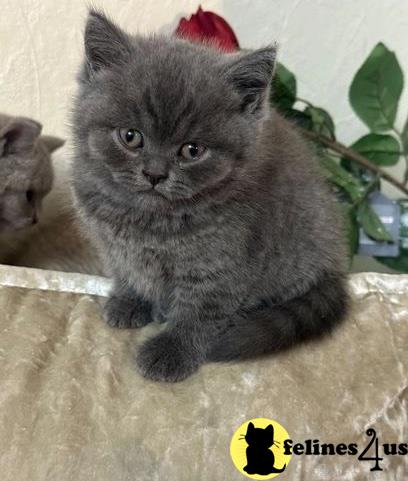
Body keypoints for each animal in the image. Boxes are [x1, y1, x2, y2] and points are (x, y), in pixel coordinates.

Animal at [71, 11, 350, 382]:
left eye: (192, 150)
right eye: (131, 136)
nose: (155, 174)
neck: (149, 221)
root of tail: (335, 261)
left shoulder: (224, 263)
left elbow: (201, 310)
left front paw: (172, 351)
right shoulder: (113, 245)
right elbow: (128, 270)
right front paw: (130, 300)